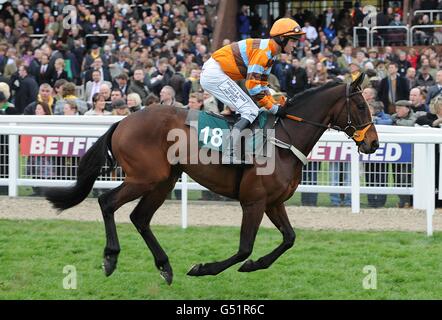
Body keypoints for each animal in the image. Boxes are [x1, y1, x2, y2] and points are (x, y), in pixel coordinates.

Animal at [45, 74, 378, 284]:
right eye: (362, 106)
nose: (373, 143)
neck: (283, 139)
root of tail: (123, 121)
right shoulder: (254, 201)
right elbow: (244, 247)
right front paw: (203, 268)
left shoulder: (274, 202)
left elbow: (289, 238)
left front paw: (255, 265)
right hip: (144, 177)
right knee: (107, 201)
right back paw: (111, 258)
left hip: (164, 180)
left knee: (139, 217)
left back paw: (164, 266)